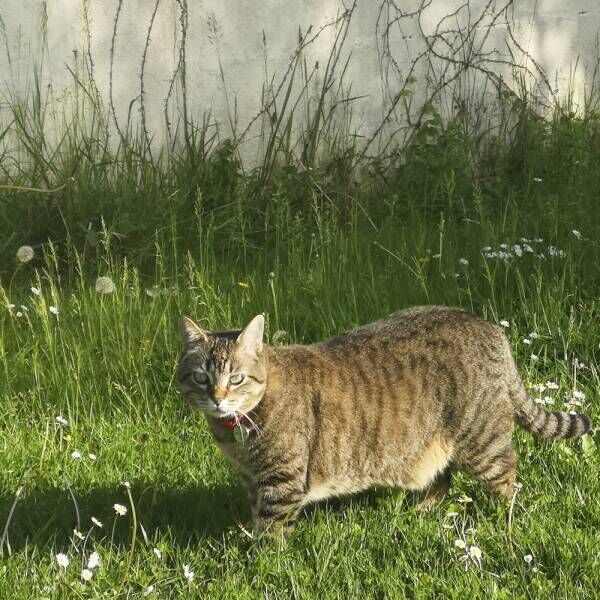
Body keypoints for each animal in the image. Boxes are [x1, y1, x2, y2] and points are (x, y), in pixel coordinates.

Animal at [176, 310, 592, 536]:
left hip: (481, 440)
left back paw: (503, 518)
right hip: (431, 443)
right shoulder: (251, 478)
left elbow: (270, 531)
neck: (238, 437)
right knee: (441, 478)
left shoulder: (281, 481)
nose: (217, 397)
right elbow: (254, 514)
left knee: (508, 477)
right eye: (200, 377)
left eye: (236, 378)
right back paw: (421, 511)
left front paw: (258, 560)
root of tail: (491, 329)